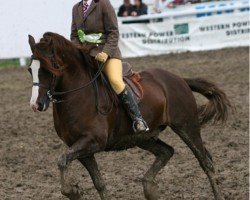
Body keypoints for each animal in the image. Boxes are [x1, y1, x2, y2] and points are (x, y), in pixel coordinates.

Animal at [26, 32, 230, 200]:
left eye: (51, 68)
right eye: (30, 69)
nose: (36, 104)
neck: (78, 95)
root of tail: (179, 79)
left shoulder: (93, 142)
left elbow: (62, 161)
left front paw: (73, 191)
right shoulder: (80, 148)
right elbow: (96, 181)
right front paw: (74, 191)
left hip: (186, 126)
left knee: (205, 161)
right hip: (143, 137)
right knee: (167, 151)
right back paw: (149, 188)